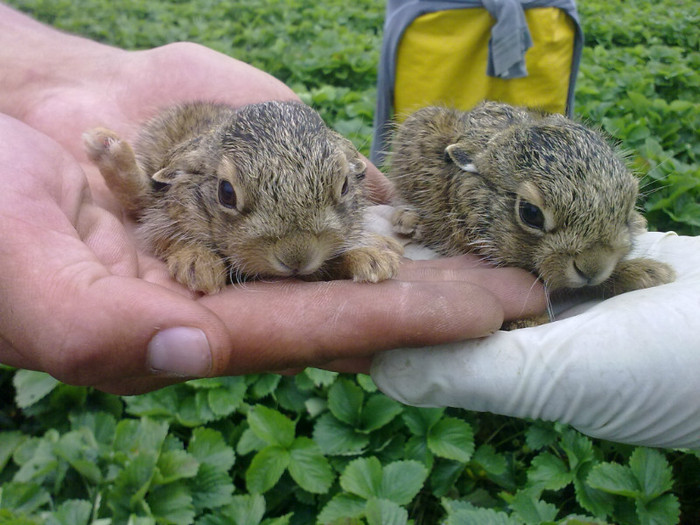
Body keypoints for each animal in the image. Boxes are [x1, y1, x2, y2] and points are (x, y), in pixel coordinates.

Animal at [82, 100, 402, 292]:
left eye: (345, 185)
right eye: (226, 193)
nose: (296, 256)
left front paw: (373, 260)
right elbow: (170, 239)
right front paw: (199, 266)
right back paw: (106, 146)